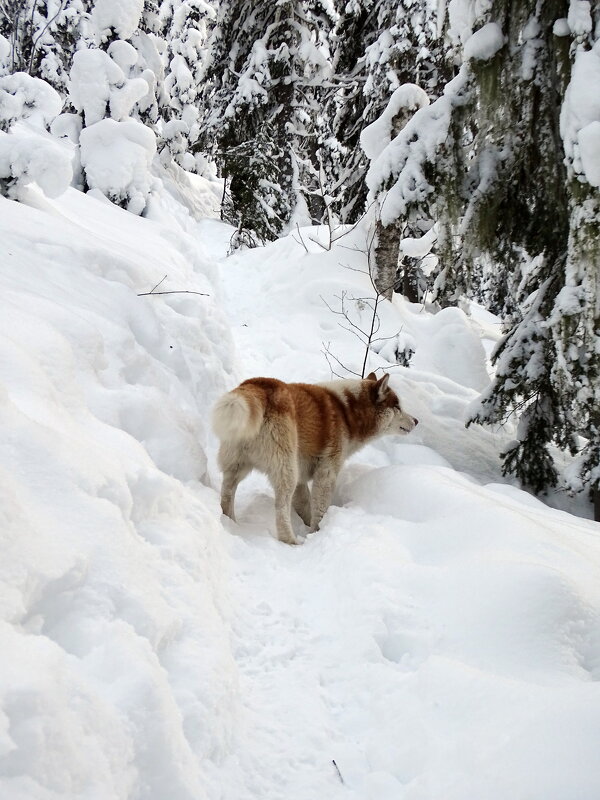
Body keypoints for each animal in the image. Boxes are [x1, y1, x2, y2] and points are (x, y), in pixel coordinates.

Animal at [214, 374, 418, 544]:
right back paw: (291, 541)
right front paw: (318, 531)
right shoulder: (326, 473)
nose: (416, 421)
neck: (347, 411)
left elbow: (305, 505)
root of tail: (257, 384)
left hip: (237, 468)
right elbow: (320, 508)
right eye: (397, 406)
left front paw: (308, 527)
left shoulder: (301, 478)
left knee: (226, 496)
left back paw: (230, 523)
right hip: (286, 472)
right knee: (281, 509)